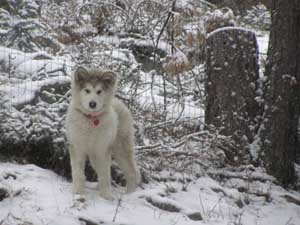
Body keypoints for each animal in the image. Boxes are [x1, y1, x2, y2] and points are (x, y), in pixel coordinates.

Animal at [66, 66, 141, 200]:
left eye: (99, 91)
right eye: (87, 90)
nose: (92, 104)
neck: (91, 119)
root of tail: (119, 102)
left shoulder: (102, 150)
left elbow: (105, 174)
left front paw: (106, 196)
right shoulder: (77, 147)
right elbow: (78, 172)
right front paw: (78, 192)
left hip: (121, 149)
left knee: (132, 172)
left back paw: (130, 194)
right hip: (94, 156)